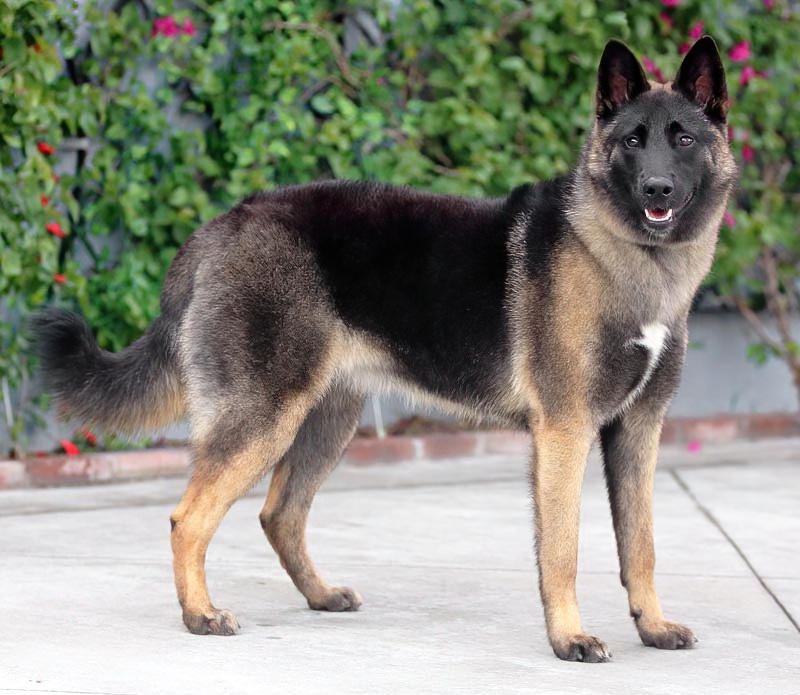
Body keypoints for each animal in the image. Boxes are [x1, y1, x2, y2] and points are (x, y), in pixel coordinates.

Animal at [32, 36, 735, 662]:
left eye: (684, 140)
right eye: (632, 142)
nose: (657, 191)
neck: (622, 255)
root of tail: (220, 226)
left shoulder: (637, 432)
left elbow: (641, 545)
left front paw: (653, 626)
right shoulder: (565, 432)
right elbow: (564, 550)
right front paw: (569, 640)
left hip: (325, 422)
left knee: (279, 515)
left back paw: (317, 596)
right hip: (264, 421)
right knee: (190, 519)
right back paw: (199, 615)